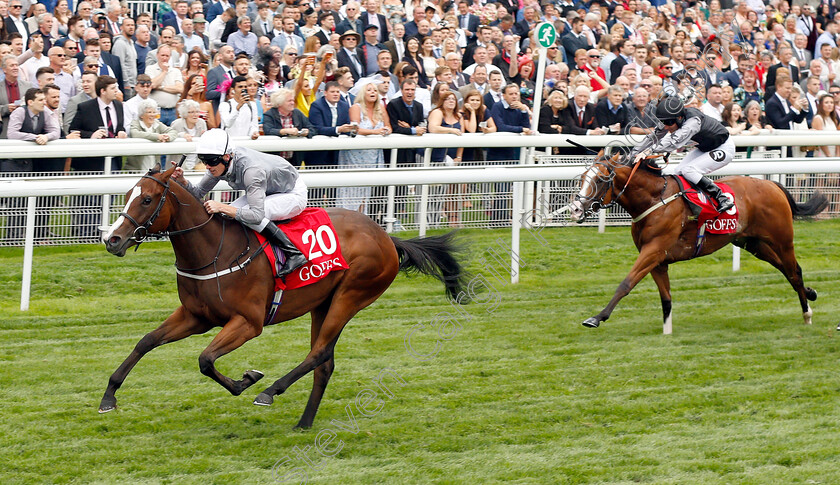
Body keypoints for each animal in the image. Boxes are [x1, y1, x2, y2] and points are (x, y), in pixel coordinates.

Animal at [99, 166, 470, 428]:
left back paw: (269, 392)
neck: (215, 250)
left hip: (351, 295)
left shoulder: (248, 323)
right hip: (323, 303)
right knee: (325, 362)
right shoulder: (196, 316)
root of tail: (386, 237)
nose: (112, 240)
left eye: (147, 200)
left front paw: (247, 380)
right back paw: (304, 423)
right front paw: (108, 397)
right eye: (127, 194)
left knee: (319, 353)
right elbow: (146, 341)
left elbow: (205, 360)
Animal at [564, 150, 828, 332]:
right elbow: (666, 298)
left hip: (782, 240)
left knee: (794, 271)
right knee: (786, 270)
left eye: (600, 180)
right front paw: (667, 332)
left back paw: (807, 314)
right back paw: (811, 294)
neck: (654, 200)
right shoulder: (658, 260)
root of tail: (771, 184)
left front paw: (596, 318)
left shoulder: (653, 250)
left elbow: (626, 283)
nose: (575, 209)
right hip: (753, 243)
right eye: (583, 177)